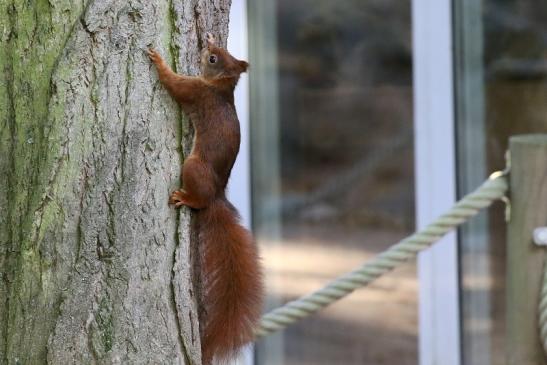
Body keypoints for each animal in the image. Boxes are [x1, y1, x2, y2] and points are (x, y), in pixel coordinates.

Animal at [148, 32, 264, 362]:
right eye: (218, 52)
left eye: (213, 59)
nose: (207, 43)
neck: (219, 89)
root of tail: (216, 196)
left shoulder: (195, 91)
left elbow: (173, 83)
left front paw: (159, 60)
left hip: (193, 167)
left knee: (196, 198)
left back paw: (186, 199)